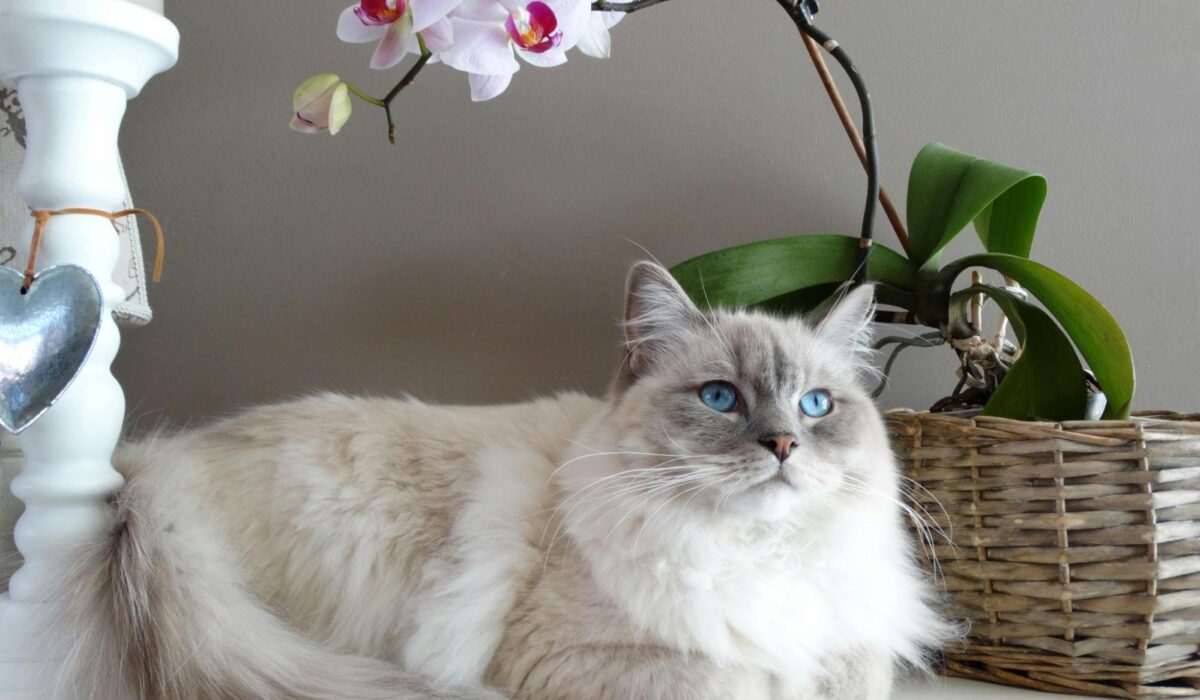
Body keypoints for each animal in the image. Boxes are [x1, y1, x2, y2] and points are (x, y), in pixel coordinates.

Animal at [42, 260, 950, 696]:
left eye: (816, 405)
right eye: (721, 398)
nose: (784, 444)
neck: (753, 555)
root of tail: (156, 463)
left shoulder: (855, 642)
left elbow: (847, 672)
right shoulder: (579, 660)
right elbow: (742, 677)